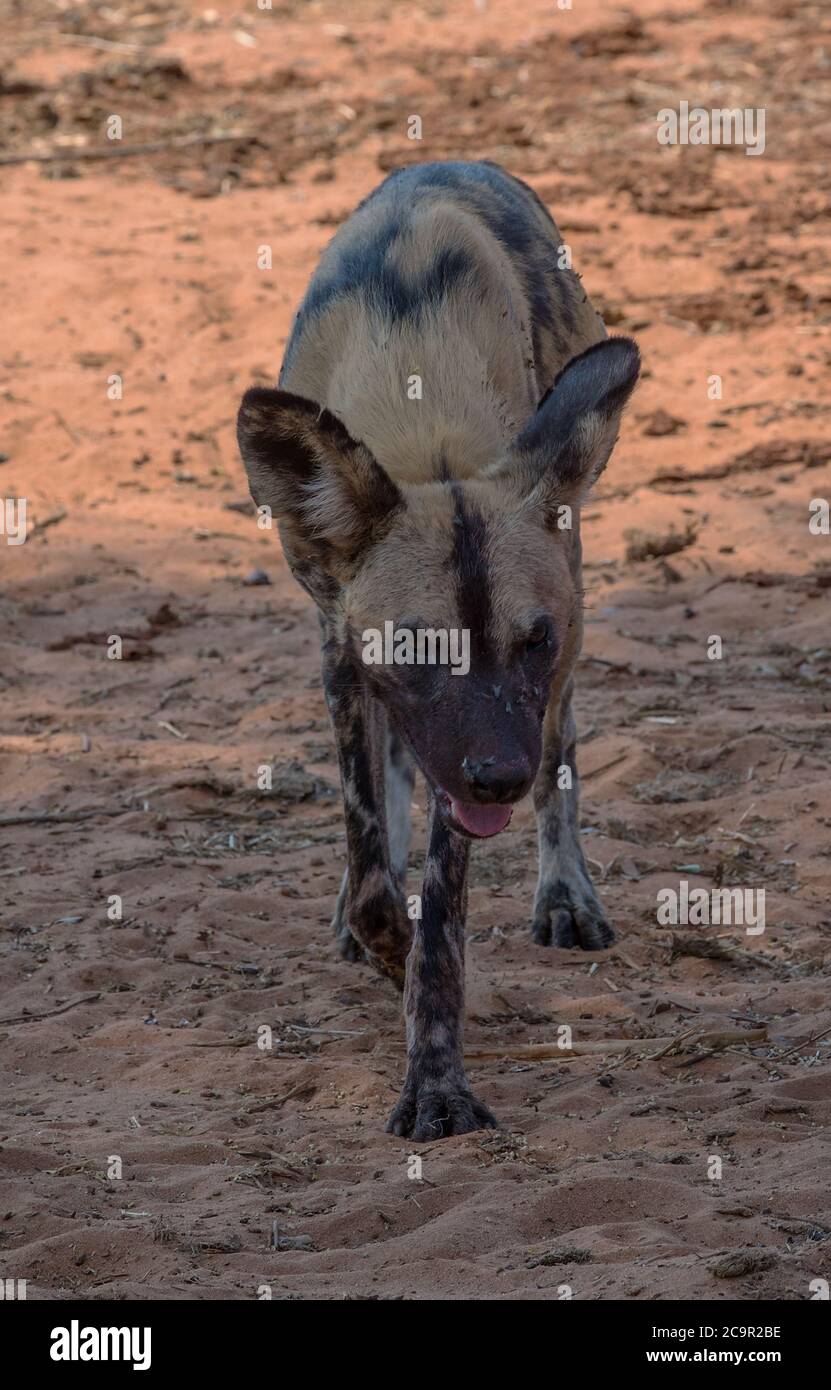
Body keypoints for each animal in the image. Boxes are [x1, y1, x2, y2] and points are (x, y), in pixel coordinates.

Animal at [237, 162, 642, 1139]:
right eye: (422, 645)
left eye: (530, 641)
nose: (497, 776)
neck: (427, 448)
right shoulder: (344, 654)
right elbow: (376, 881)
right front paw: (384, 946)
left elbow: (440, 919)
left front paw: (435, 1077)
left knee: (561, 759)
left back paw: (564, 894)